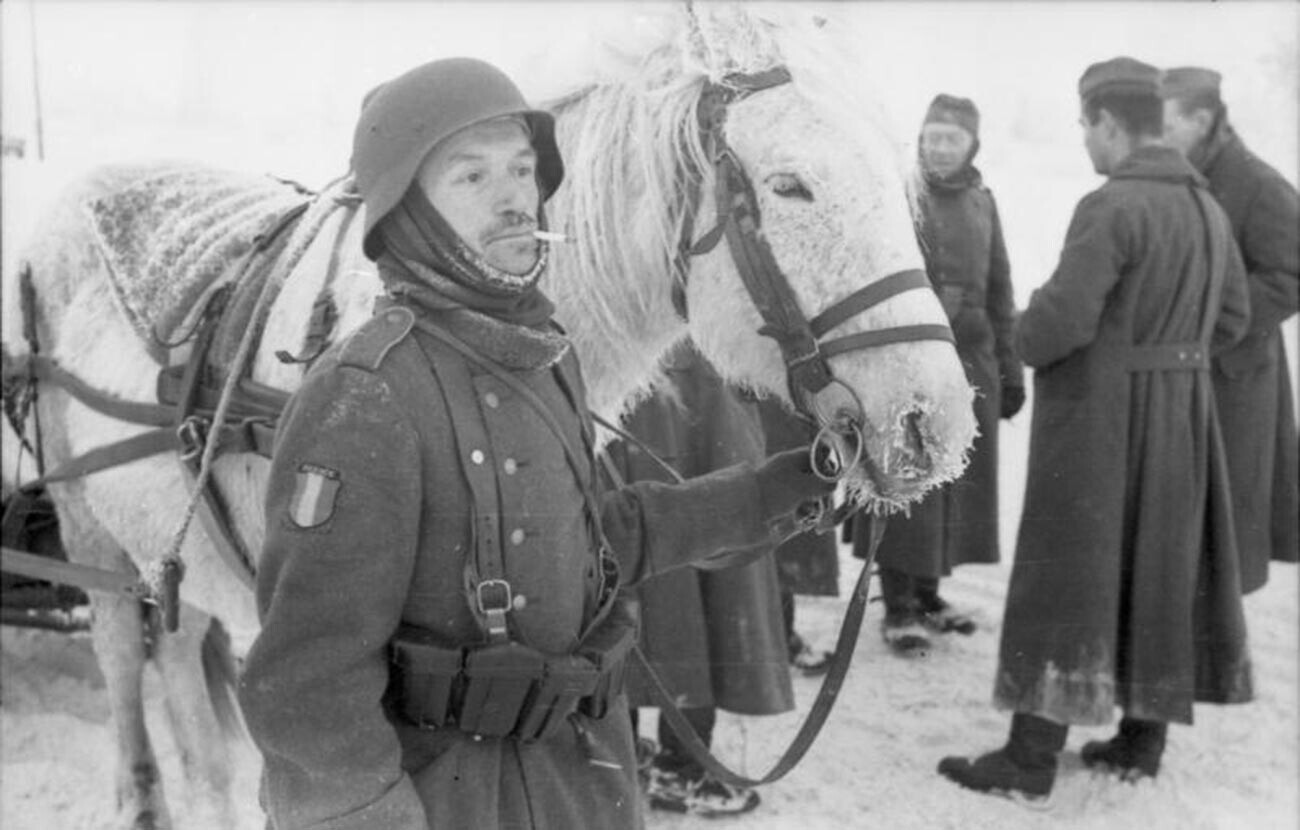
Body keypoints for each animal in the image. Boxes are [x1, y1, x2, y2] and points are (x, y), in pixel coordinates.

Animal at [2, 3, 977, 827]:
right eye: (790, 186)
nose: (933, 423)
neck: (468, 325)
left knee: (178, 658)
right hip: (90, 530)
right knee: (123, 659)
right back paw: (141, 795)